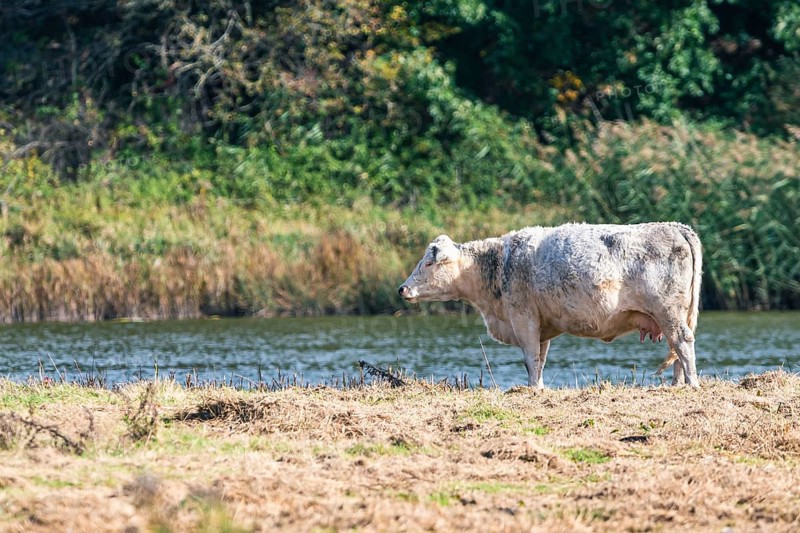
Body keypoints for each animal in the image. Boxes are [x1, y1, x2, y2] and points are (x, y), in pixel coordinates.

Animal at [398, 222, 702, 388]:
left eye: (429, 263)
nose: (402, 288)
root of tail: (675, 227)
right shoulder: (541, 325)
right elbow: (540, 360)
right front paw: (540, 387)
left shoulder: (523, 318)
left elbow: (530, 358)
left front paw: (532, 388)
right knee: (676, 347)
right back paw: (677, 384)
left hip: (668, 310)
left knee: (682, 342)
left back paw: (691, 382)